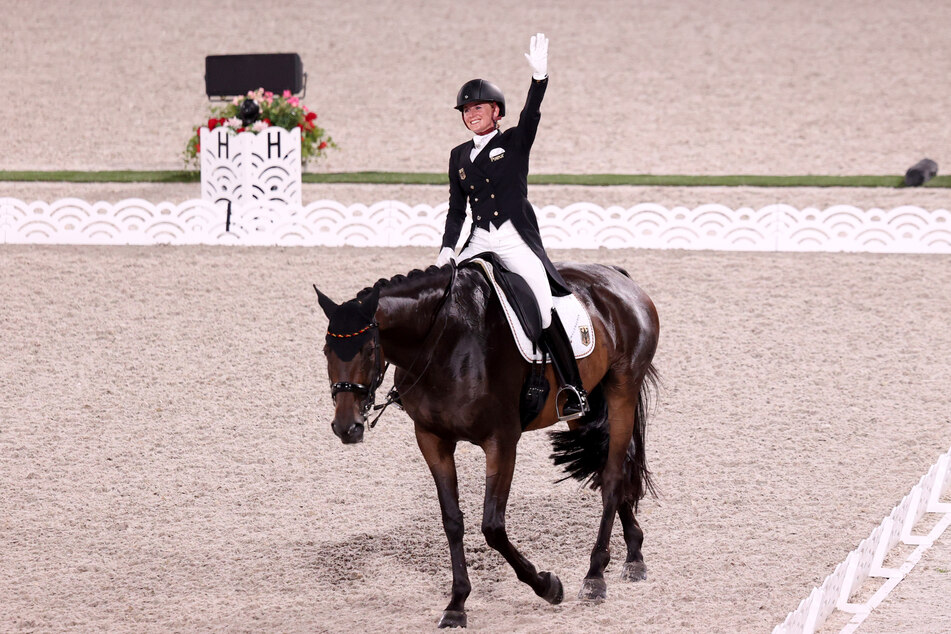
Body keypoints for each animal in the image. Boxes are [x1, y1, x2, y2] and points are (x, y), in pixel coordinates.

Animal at [316, 260, 660, 624]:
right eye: (326, 351)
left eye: (369, 350)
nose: (346, 427)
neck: (444, 342)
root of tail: (616, 275)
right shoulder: (431, 438)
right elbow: (452, 521)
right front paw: (457, 604)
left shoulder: (501, 441)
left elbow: (492, 526)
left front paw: (548, 586)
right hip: (584, 405)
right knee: (605, 463)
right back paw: (634, 555)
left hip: (622, 388)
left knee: (612, 475)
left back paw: (595, 577)